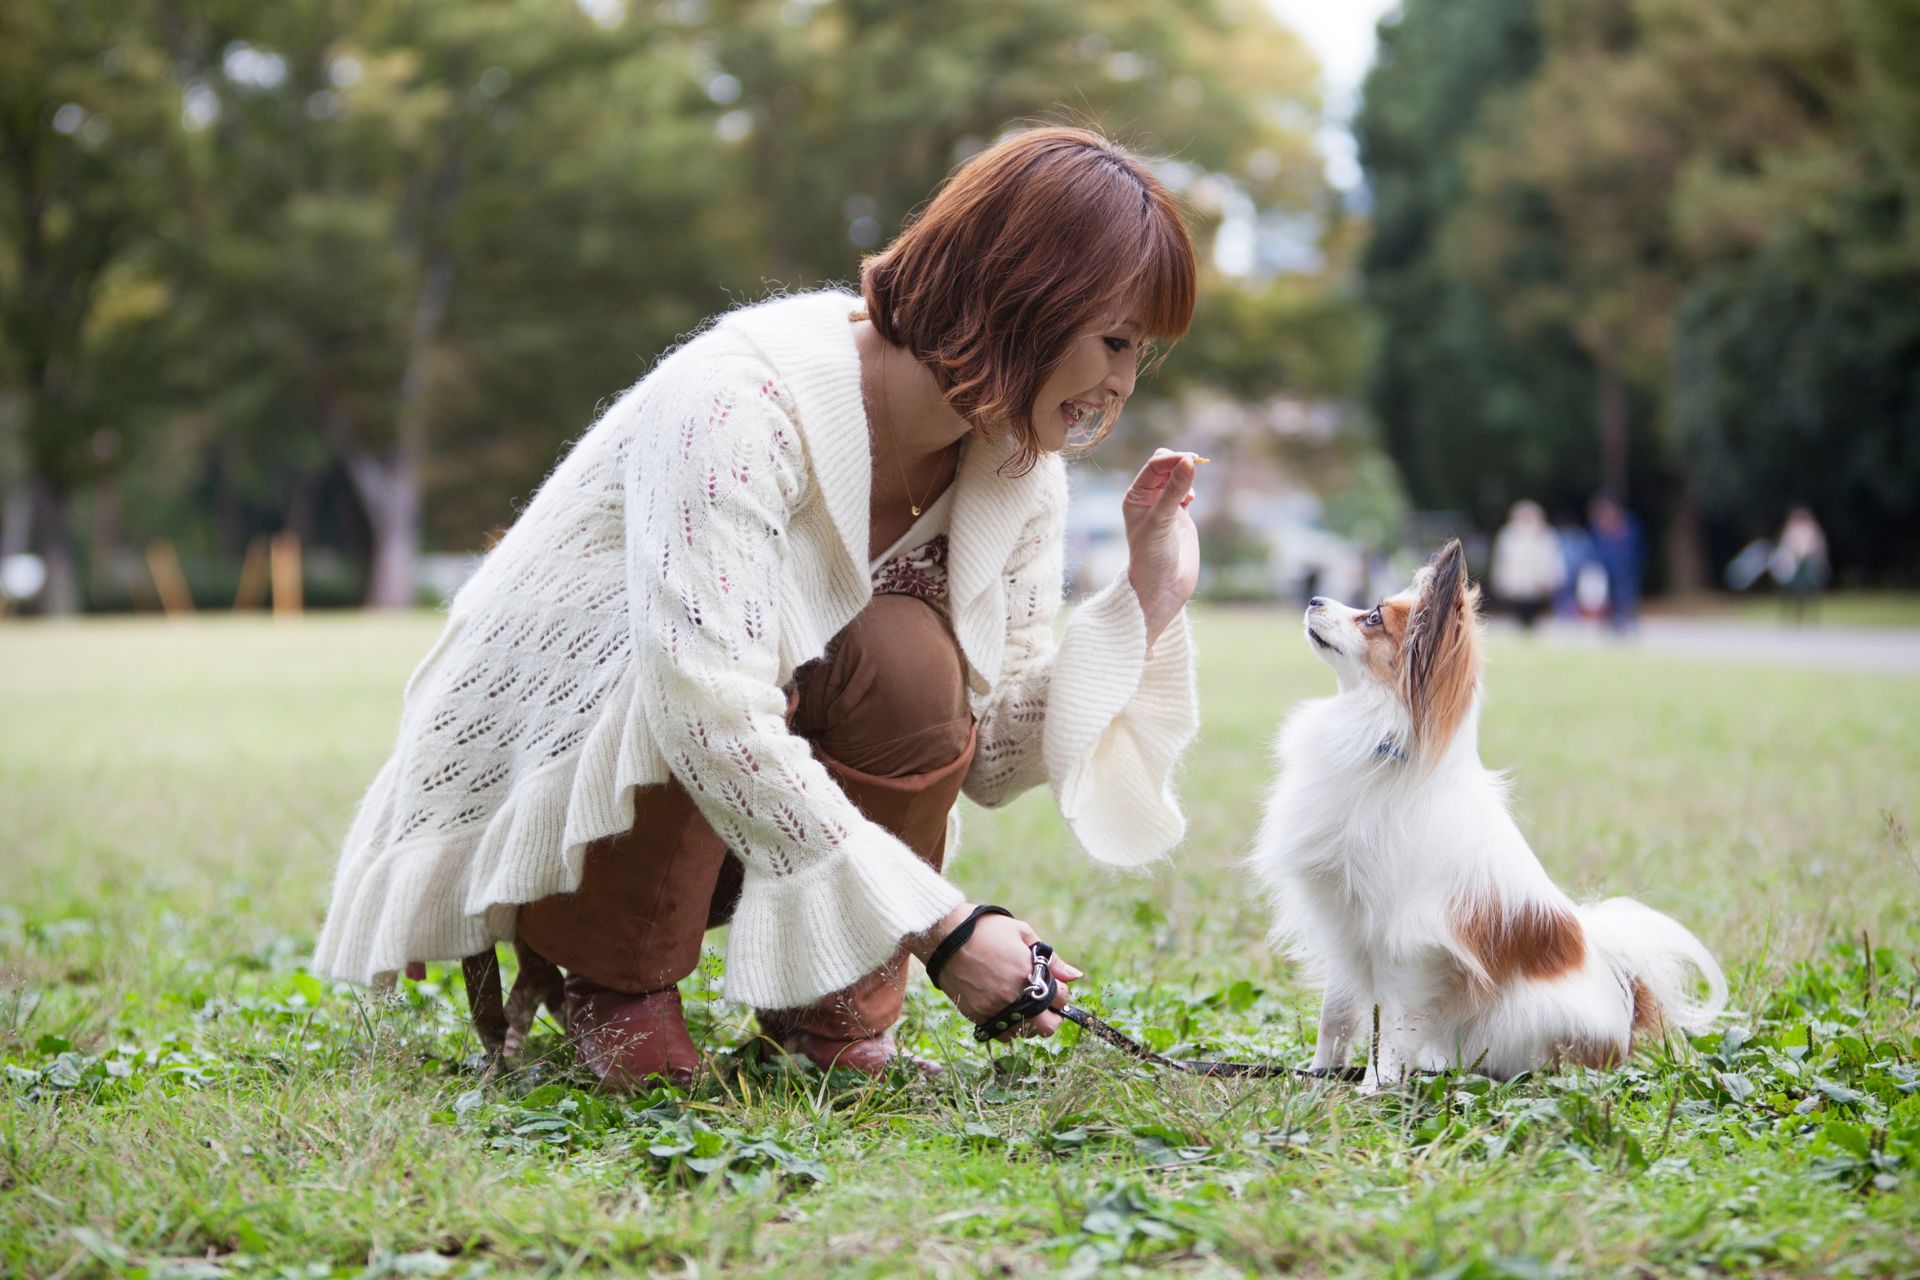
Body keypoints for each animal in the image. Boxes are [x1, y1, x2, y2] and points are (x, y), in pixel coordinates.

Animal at [1244, 541, 1728, 1090]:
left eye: (1372, 618)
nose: (1313, 597)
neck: (1381, 751)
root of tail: (1624, 997)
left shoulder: (1404, 947)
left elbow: (1391, 1027)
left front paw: (1374, 1086)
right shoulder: (1346, 930)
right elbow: (1338, 1015)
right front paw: (1320, 1075)